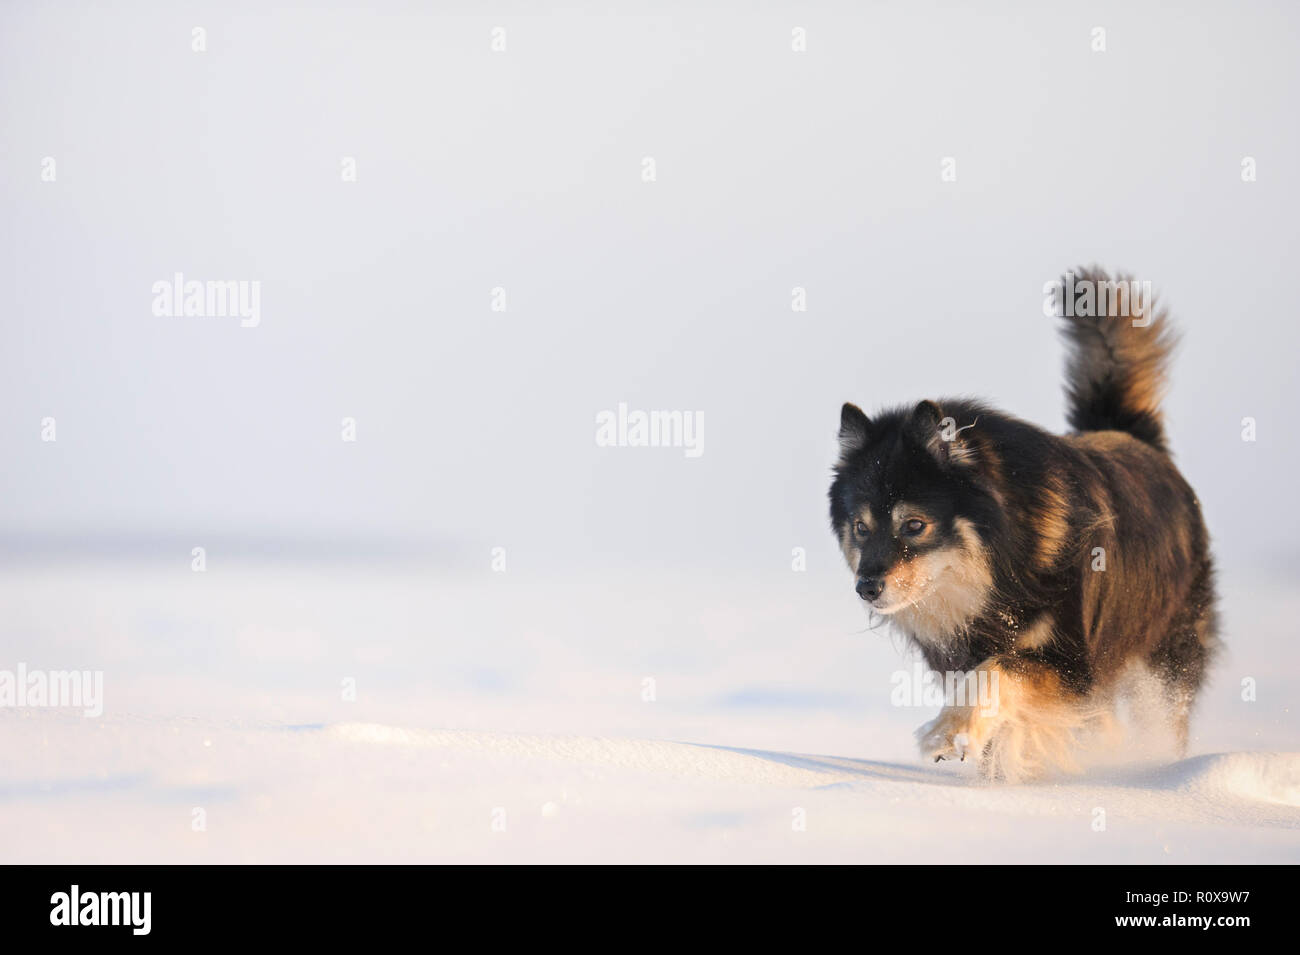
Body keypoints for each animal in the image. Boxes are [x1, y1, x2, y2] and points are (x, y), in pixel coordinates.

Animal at [832, 270, 1216, 784]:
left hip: (1164, 661)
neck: (1004, 564)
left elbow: (997, 673)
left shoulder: (1073, 666)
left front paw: (948, 733)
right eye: (860, 527)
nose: (867, 587)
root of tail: (1135, 438)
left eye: (914, 524)